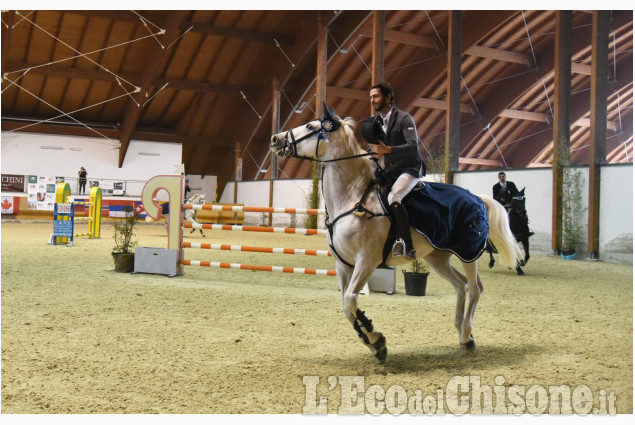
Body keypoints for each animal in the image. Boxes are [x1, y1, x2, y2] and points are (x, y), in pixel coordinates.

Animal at [270, 106, 520, 362]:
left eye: (311, 126)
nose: (275, 139)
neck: (352, 197)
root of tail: (477, 197)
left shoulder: (366, 261)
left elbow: (350, 300)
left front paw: (375, 338)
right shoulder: (343, 264)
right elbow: (346, 306)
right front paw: (374, 342)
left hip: (468, 252)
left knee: (476, 288)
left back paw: (468, 335)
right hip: (437, 257)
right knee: (462, 286)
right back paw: (461, 333)